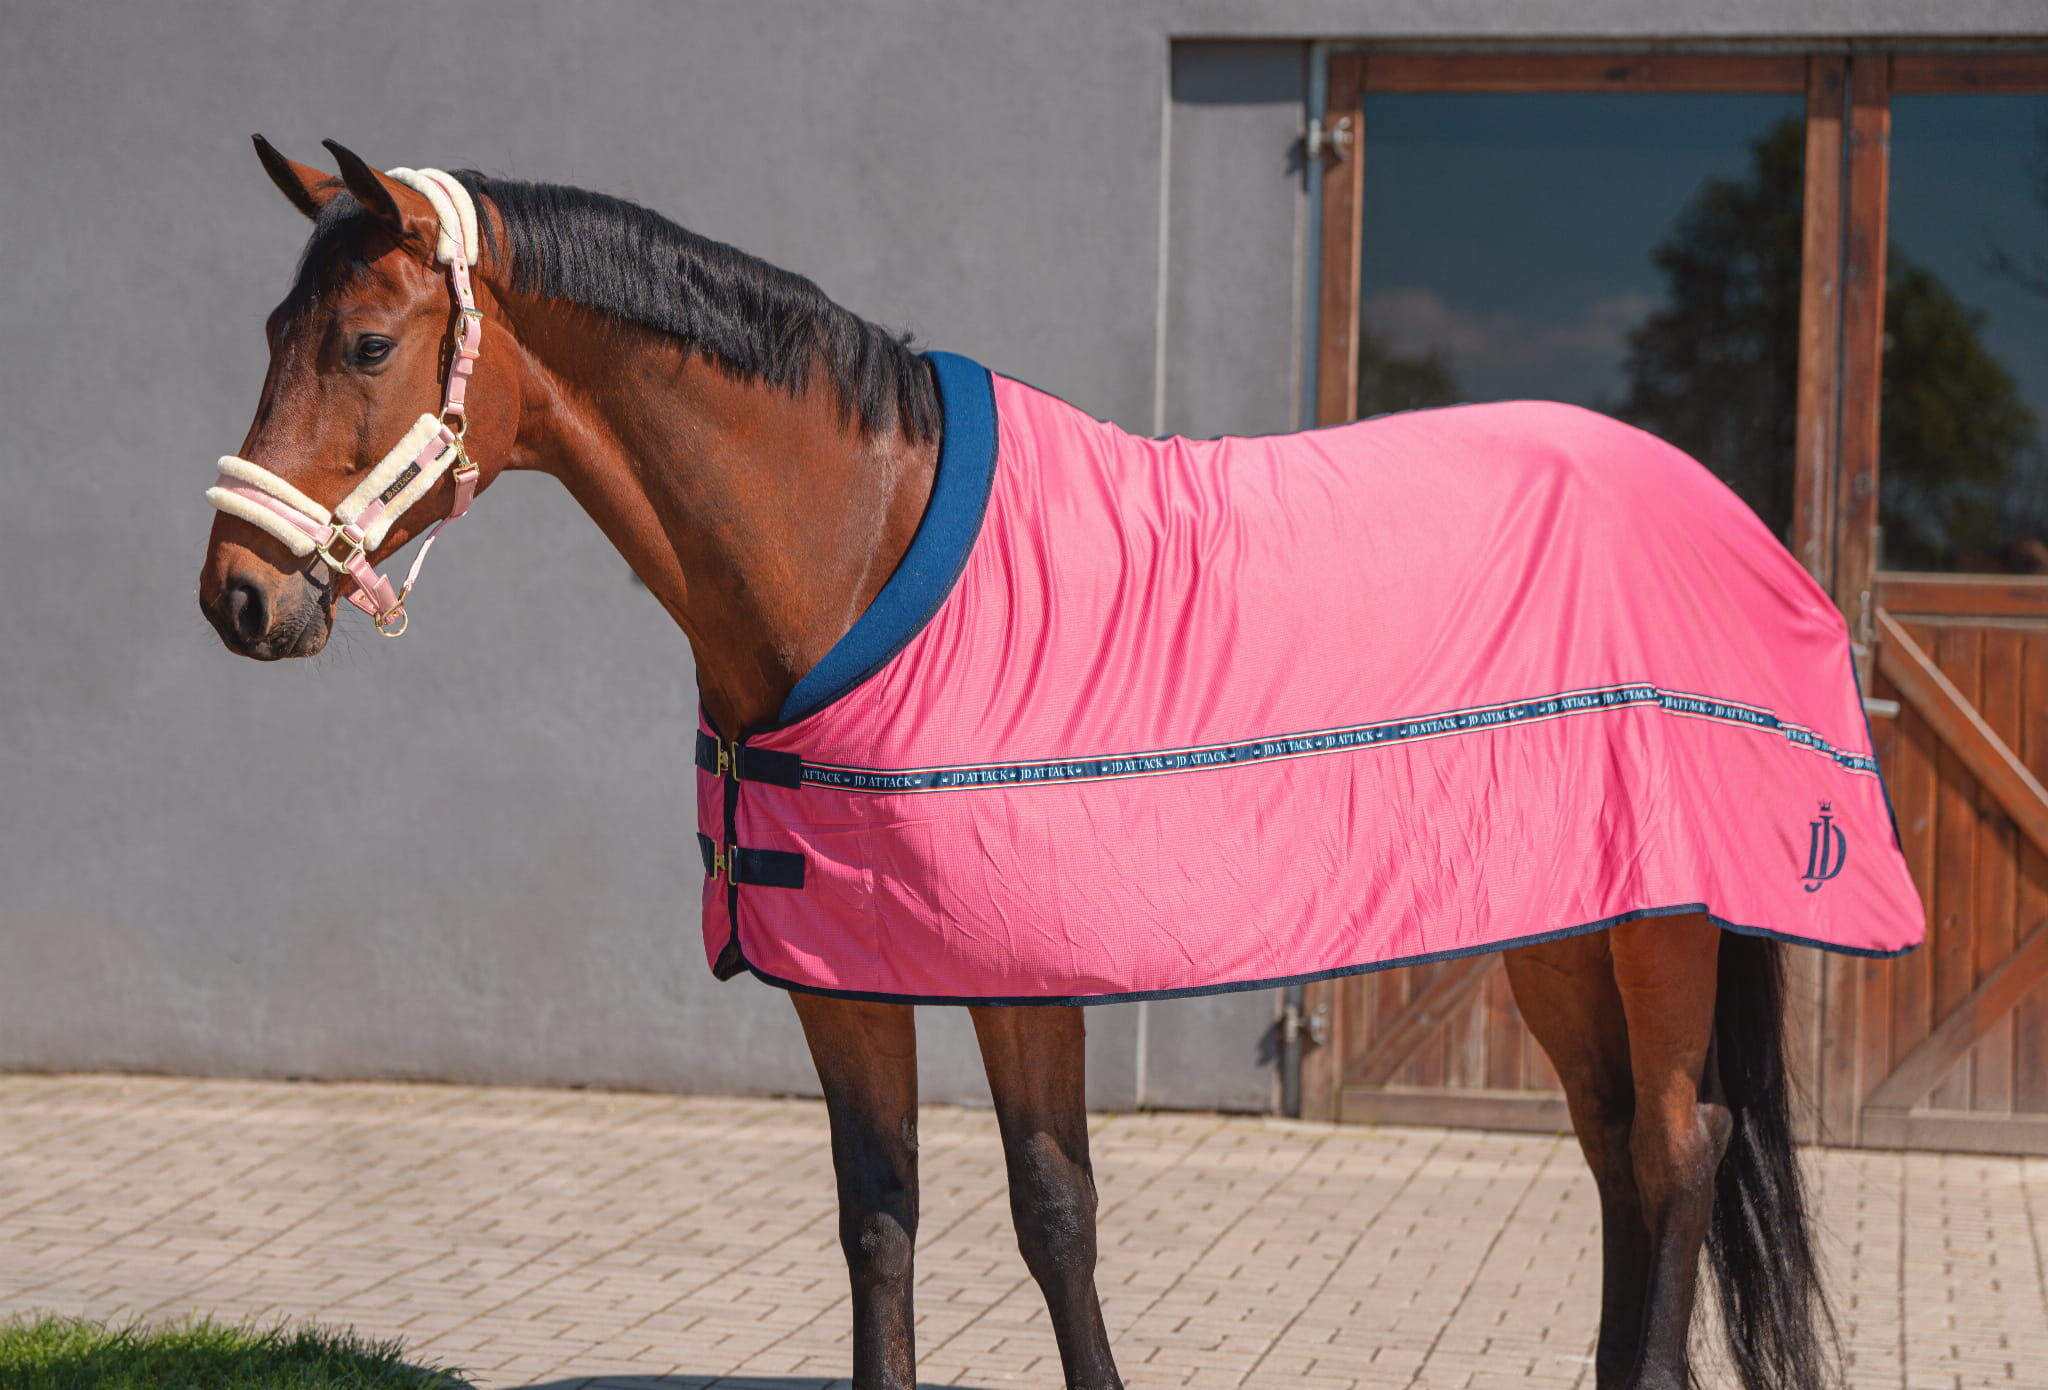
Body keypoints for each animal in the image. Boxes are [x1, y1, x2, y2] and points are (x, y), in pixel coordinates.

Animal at [196, 138, 1880, 1390]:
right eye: (272, 334)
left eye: (365, 343)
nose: (238, 598)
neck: (858, 547)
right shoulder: (839, 971)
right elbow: (879, 1215)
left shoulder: (1025, 973)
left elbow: (1054, 1209)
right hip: (1561, 926)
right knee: (1618, 1147)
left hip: (1660, 929)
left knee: (1681, 1142)